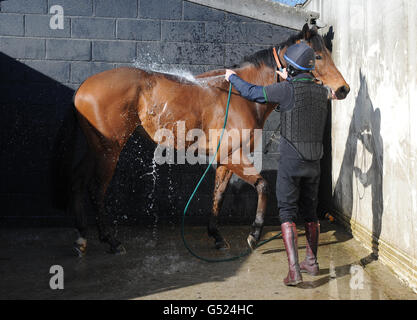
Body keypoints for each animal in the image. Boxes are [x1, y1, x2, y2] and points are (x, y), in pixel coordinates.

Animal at [67, 23, 348, 256]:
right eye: (317, 56)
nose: (343, 89)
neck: (241, 95)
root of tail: (83, 89)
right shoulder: (233, 155)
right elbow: (262, 186)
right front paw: (254, 235)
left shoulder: (224, 158)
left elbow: (219, 194)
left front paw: (217, 236)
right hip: (109, 151)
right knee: (96, 190)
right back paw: (111, 241)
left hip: (95, 149)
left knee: (79, 181)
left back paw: (81, 238)